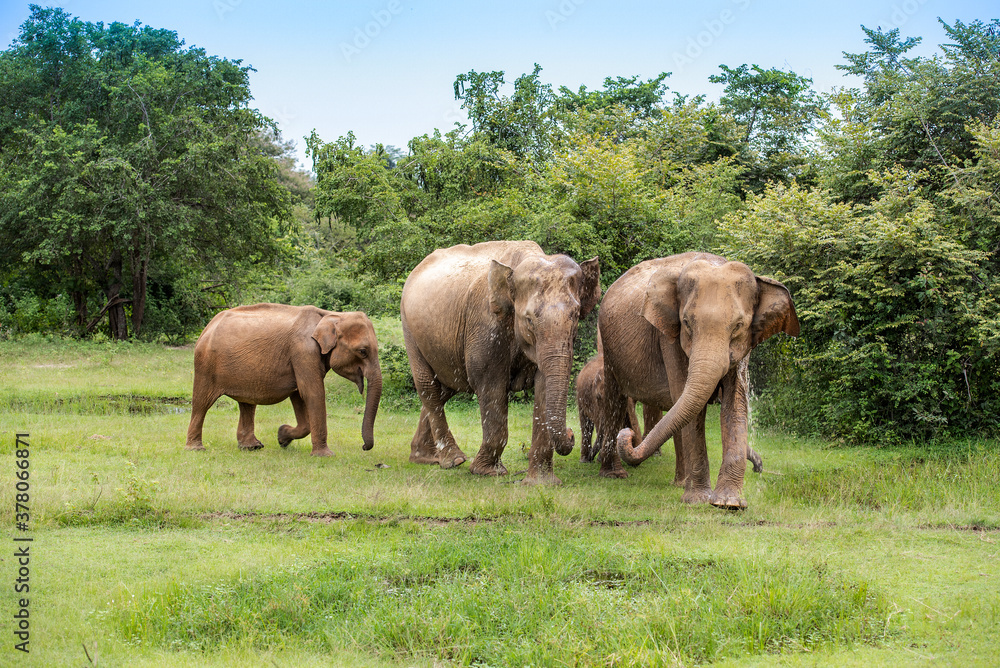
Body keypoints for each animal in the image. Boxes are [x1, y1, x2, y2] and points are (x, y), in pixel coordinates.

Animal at [185, 304, 382, 456]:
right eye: (363, 351)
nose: (363, 447)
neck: (331, 315)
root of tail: (208, 326)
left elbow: (299, 395)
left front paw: (282, 438)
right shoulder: (303, 351)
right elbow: (312, 392)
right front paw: (325, 455)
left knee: (247, 404)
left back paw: (251, 447)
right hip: (205, 364)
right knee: (202, 402)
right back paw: (196, 449)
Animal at [401, 240, 600, 484]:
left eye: (575, 315)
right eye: (529, 320)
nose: (572, 434)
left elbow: (543, 386)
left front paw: (541, 483)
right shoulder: (486, 324)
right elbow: (491, 385)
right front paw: (488, 472)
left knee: (445, 389)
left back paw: (425, 457)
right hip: (409, 329)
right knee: (428, 386)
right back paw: (453, 460)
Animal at [596, 252, 798, 508]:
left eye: (738, 326)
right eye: (687, 323)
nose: (629, 437)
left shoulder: (745, 346)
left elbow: (735, 404)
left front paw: (729, 503)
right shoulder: (668, 336)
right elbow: (688, 401)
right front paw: (698, 500)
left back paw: (679, 483)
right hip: (609, 348)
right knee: (615, 399)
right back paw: (615, 474)